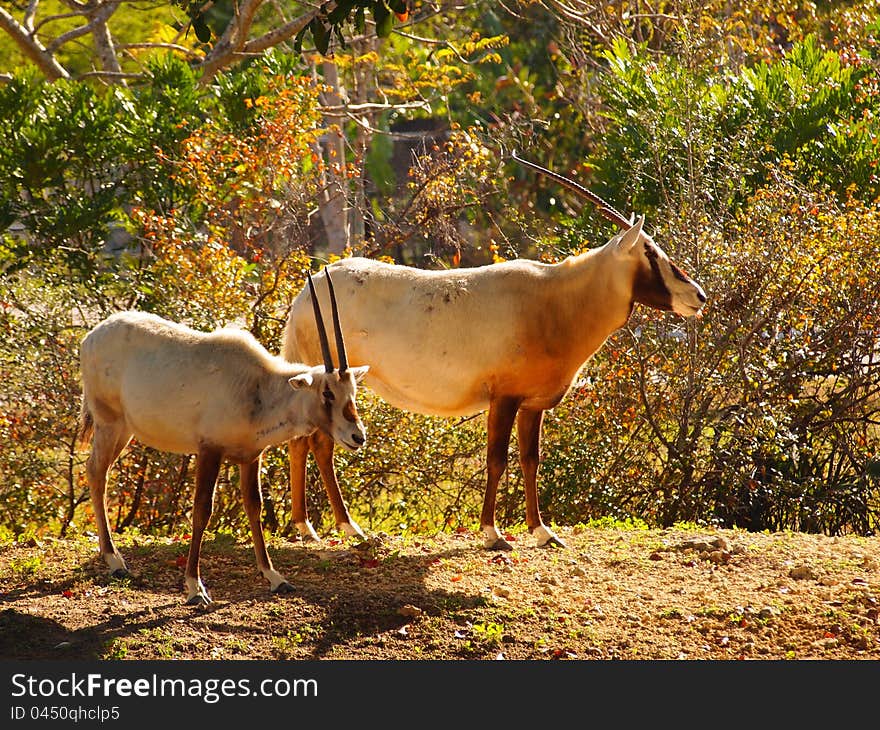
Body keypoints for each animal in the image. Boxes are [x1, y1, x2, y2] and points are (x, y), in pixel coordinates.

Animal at [77, 270, 370, 600]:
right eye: (327, 392)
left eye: (352, 392)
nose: (357, 436)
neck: (259, 388)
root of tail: (92, 336)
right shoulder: (209, 450)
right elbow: (202, 509)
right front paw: (195, 586)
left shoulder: (251, 456)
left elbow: (254, 507)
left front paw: (274, 576)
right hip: (109, 423)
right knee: (97, 472)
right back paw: (114, 560)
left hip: (124, 430)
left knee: (97, 470)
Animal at [282, 155, 708, 552]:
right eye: (650, 252)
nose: (699, 296)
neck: (556, 298)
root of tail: (304, 294)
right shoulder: (504, 398)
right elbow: (497, 460)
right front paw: (492, 533)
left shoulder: (532, 404)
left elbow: (530, 460)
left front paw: (542, 532)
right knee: (317, 443)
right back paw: (343, 527)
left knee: (304, 441)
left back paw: (309, 527)